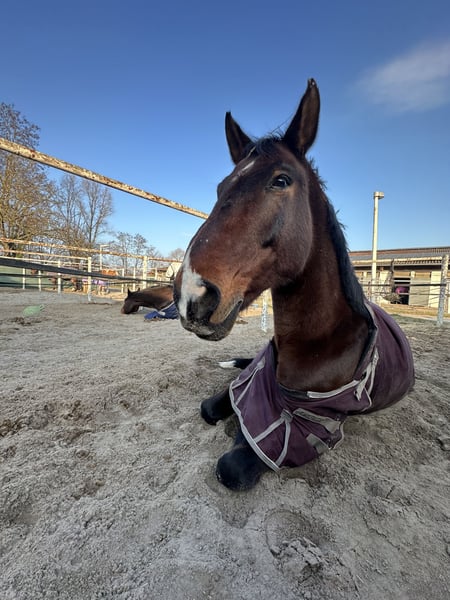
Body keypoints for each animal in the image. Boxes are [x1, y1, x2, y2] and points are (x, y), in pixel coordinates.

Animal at [173, 79, 415, 491]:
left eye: (281, 180)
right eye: (221, 187)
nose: (192, 294)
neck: (320, 341)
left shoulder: (311, 427)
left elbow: (233, 464)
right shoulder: (252, 381)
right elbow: (212, 405)